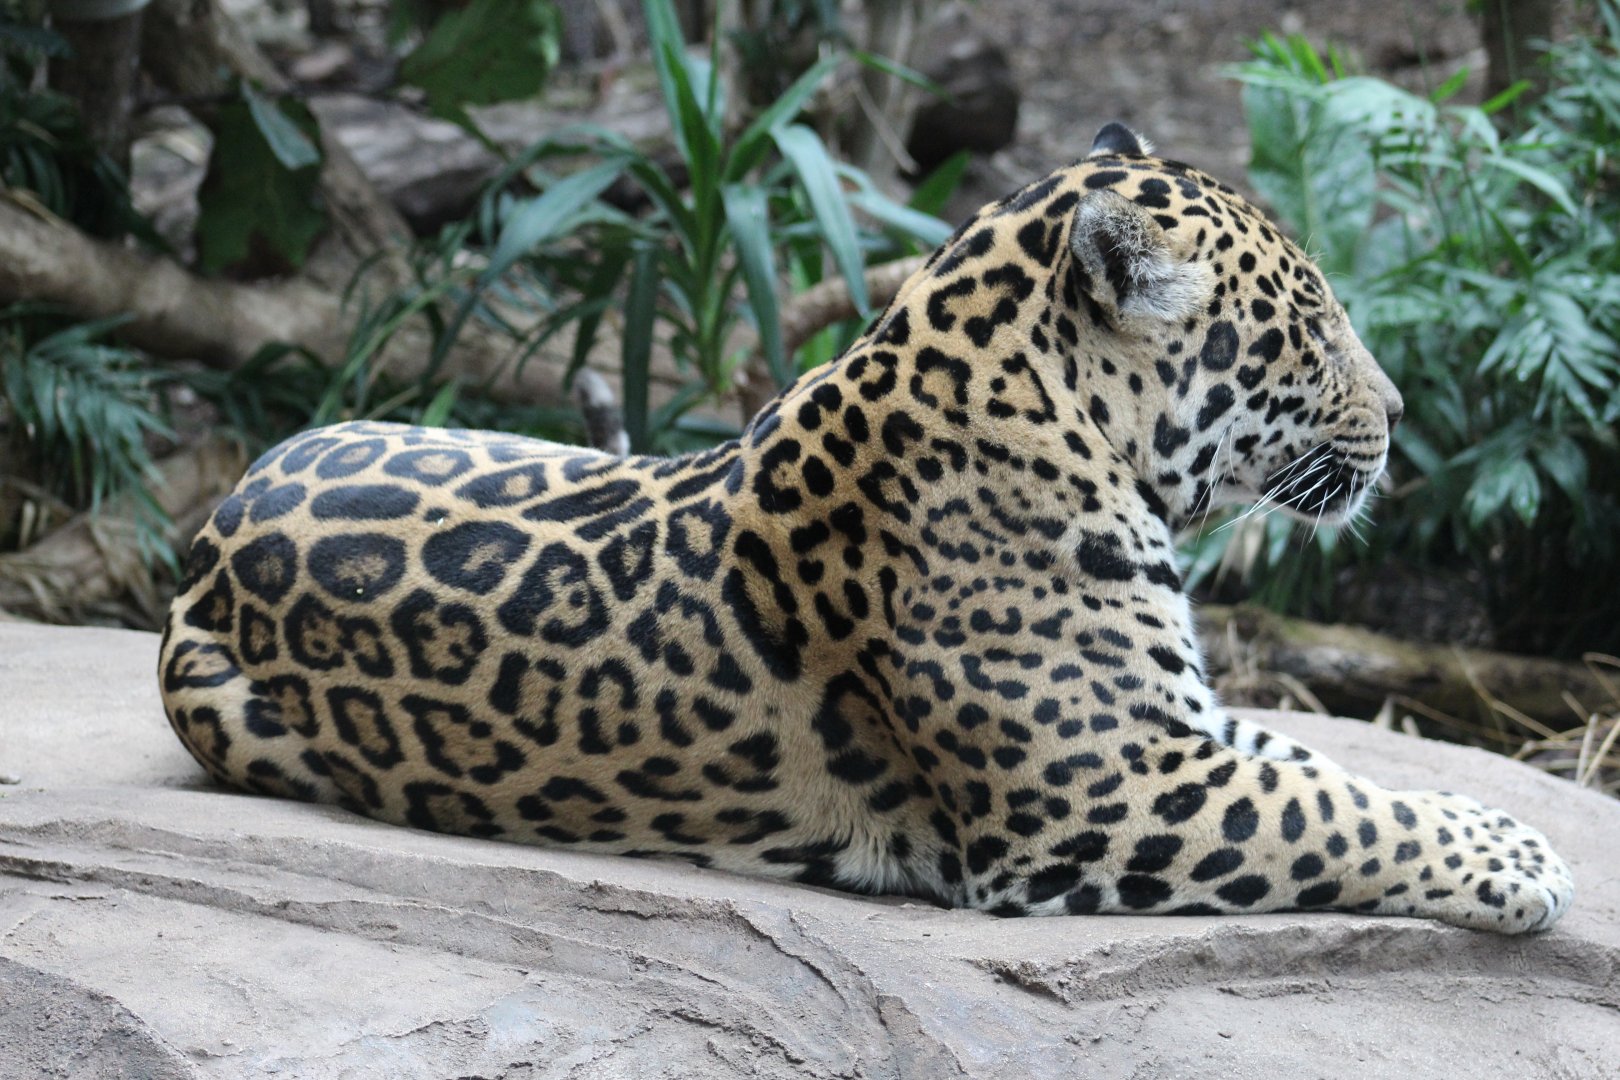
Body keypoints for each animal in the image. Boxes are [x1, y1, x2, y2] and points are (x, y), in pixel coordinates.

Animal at [159, 122, 1574, 933]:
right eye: (1311, 327)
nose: (1400, 412)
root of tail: (209, 533)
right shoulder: (1111, 788)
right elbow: (1329, 811)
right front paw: (1518, 855)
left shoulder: (1175, 727)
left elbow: (1327, 767)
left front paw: (1483, 814)